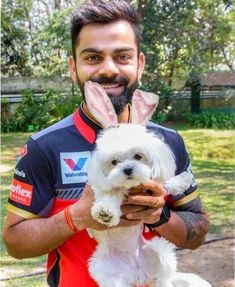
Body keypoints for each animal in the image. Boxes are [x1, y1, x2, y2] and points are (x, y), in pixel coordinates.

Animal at [85, 81, 213, 287]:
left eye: (138, 156)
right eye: (114, 162)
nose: (127, 169)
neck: (131, 187)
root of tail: (138, 273)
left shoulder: (154, 183)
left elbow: (167, 182)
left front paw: (185, 179)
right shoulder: (106, 188)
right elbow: (108, 196)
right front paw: (105, 212)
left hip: (160, 249)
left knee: (163, 278)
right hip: (105, 269)